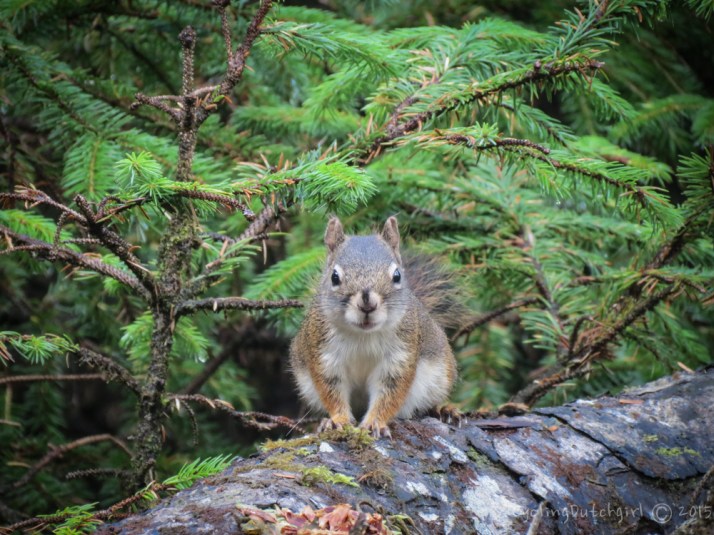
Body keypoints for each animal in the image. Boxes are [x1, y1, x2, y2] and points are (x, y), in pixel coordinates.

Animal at [290, 216, 458, 438]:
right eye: (334, 277)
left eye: (397, 275)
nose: (367, 303)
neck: (363, 335)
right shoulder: (324, 354)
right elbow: (331, 391)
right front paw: (337, 421)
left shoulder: (400, 356)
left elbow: (390, 393)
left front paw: (374, 423)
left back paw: (444, 410)